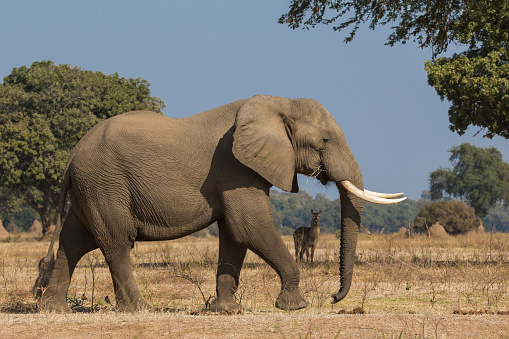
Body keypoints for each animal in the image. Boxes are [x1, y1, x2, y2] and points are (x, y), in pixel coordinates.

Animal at [32, 95, 404, 314]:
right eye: (324, 140)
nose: (334, 298)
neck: (277, 103)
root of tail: (71, 156)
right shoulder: (236, 167)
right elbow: (250, 226)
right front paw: (295, 306)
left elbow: (234, 235)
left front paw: (227, 311)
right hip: (105, 185)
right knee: (116, 243)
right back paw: (139, 309)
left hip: (91, 188)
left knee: (73, 241)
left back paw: (55, 310)